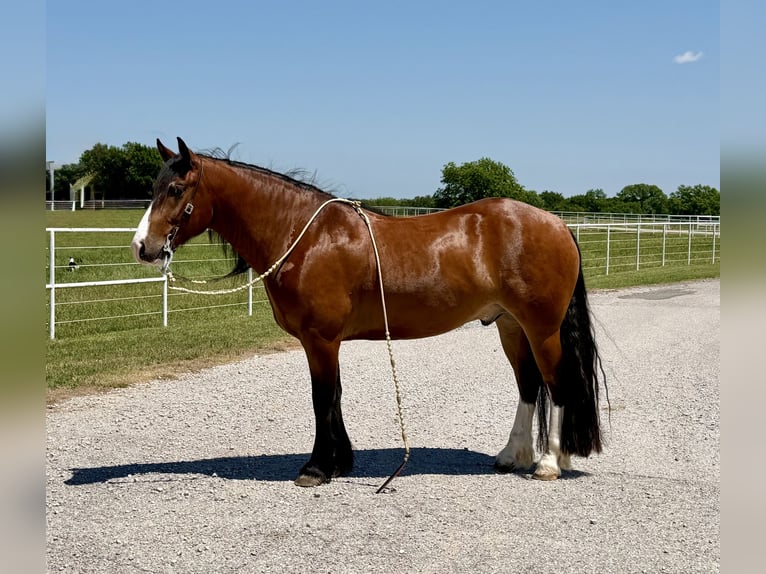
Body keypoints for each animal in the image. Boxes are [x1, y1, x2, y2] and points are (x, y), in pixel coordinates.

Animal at [131, 137, 606, 488]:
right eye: (153, 189)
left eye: (175, 190)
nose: (142, 247)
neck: (305, 236)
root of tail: (557, 224)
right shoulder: (326, 341)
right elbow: (335, 396)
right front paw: (340, 462)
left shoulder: (320, 340)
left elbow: (322, 397)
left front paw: (317, 468)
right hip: (510, 327)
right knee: (528, 387)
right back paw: (511, 455)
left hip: (541, 329)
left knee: (557, 386)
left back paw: (548, 463)